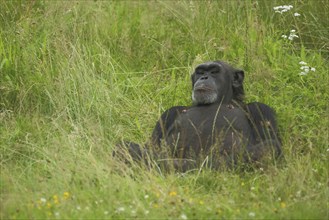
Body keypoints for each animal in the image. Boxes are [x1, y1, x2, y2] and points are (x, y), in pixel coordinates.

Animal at [116, 61, 282, 171]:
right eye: (200, 72)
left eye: (214, 71)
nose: (204, 78)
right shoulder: (169, 113)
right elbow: (150, 146)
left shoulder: (260, 109)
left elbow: (271, 143)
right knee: (123, 146)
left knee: (269, 146)